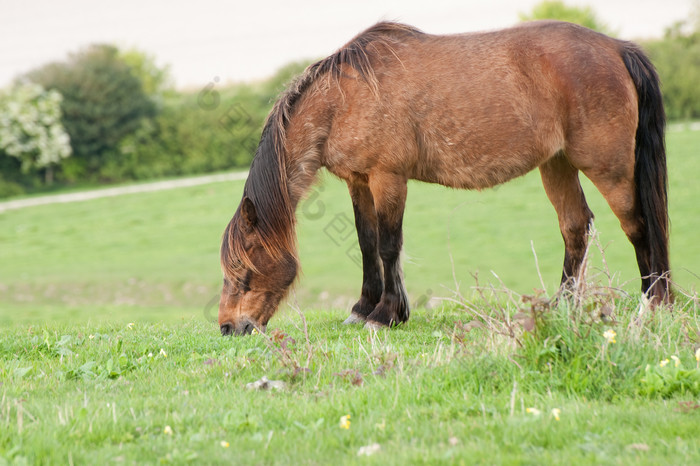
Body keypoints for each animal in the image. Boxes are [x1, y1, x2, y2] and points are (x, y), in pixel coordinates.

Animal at [216, 20, 668, 334]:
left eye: (242, 269)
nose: (228, 327)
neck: (344, 98)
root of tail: (616, 47)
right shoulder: (359, 181)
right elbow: (367, 244)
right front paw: (365, 309)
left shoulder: (387, 178)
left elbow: (388, 245)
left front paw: (384, 315)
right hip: (556, 164)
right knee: (575, 228)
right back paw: (561, 309)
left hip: (608, 168)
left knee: (638, 226)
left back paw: (652, 305)